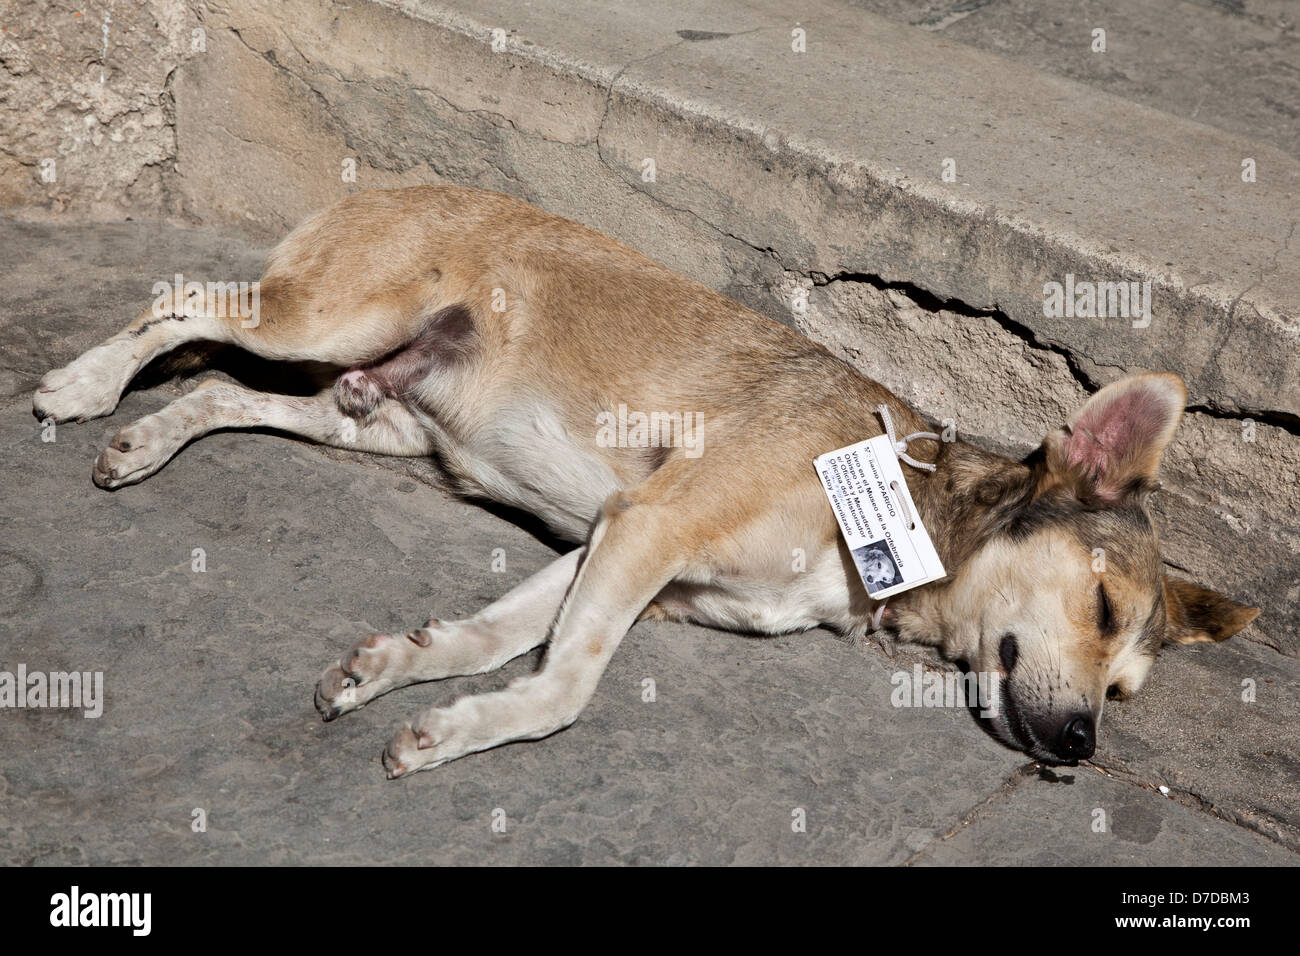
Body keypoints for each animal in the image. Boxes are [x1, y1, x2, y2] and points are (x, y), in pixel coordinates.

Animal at [32, 187, 1258, 780]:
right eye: (1099, 606)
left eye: (1125, 691)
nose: (1081, 747)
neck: (902, 519)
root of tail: (390, 176)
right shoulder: (649, 526)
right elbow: (564, 686)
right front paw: (461, 727)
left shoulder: (619, 547)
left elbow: (500, 634)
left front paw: (401, 669)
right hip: (329, 316)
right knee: (185, 303)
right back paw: (85, 383)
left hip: (370, 414)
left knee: (220, 390)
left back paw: (147, 439)